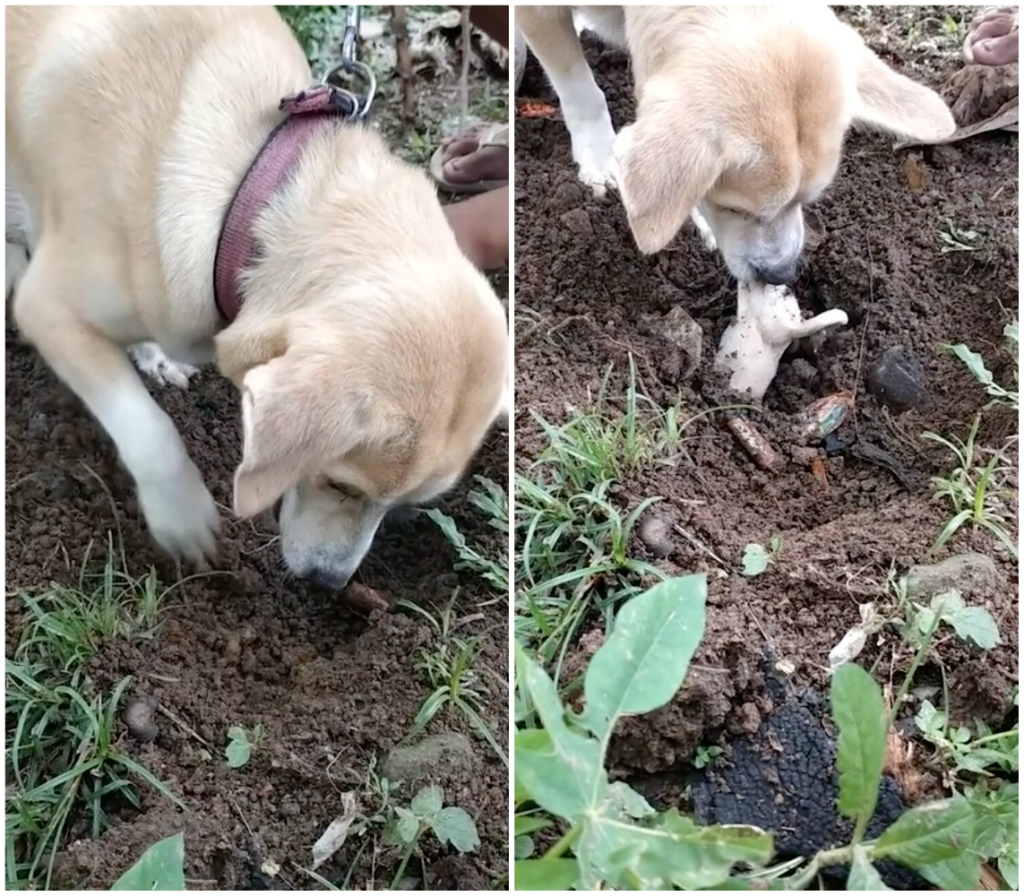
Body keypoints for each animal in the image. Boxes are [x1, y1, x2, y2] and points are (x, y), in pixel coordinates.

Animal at [4, 7, 507, 589]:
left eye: (402, 506)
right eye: (341, 484)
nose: (329, 583)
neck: (248, 186)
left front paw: (152, 355)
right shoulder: (47, 307)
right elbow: (147, 428)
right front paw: (182, 515)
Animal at [520, 6, 958, 284]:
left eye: (806, 201)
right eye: (734, 209)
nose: (782, 275)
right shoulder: (538, 14)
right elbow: (579, 86)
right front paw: (599, 158)